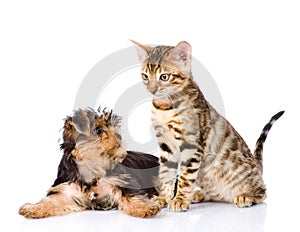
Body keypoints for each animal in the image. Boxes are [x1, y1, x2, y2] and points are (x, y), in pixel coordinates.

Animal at [19, 108, 161, 218]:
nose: (119, 136)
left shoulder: (122, 180)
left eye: (116, 130)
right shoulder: (66, 189)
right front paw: (34, 207)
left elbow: (131, 194)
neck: (91, 167)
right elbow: (52, 200)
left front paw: (144, 208)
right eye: (98, 130)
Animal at [132, 40, 284, 212]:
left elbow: (185, 177)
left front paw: (179, 200)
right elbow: (166, 173)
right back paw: (199, 194)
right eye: (145, 76)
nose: (152, 90)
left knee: (263, 192)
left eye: (164, 76)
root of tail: (257, 168)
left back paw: (246, 196)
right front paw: (164, 197)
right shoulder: (166, 145)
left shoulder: (193, 144)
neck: (164, 106)